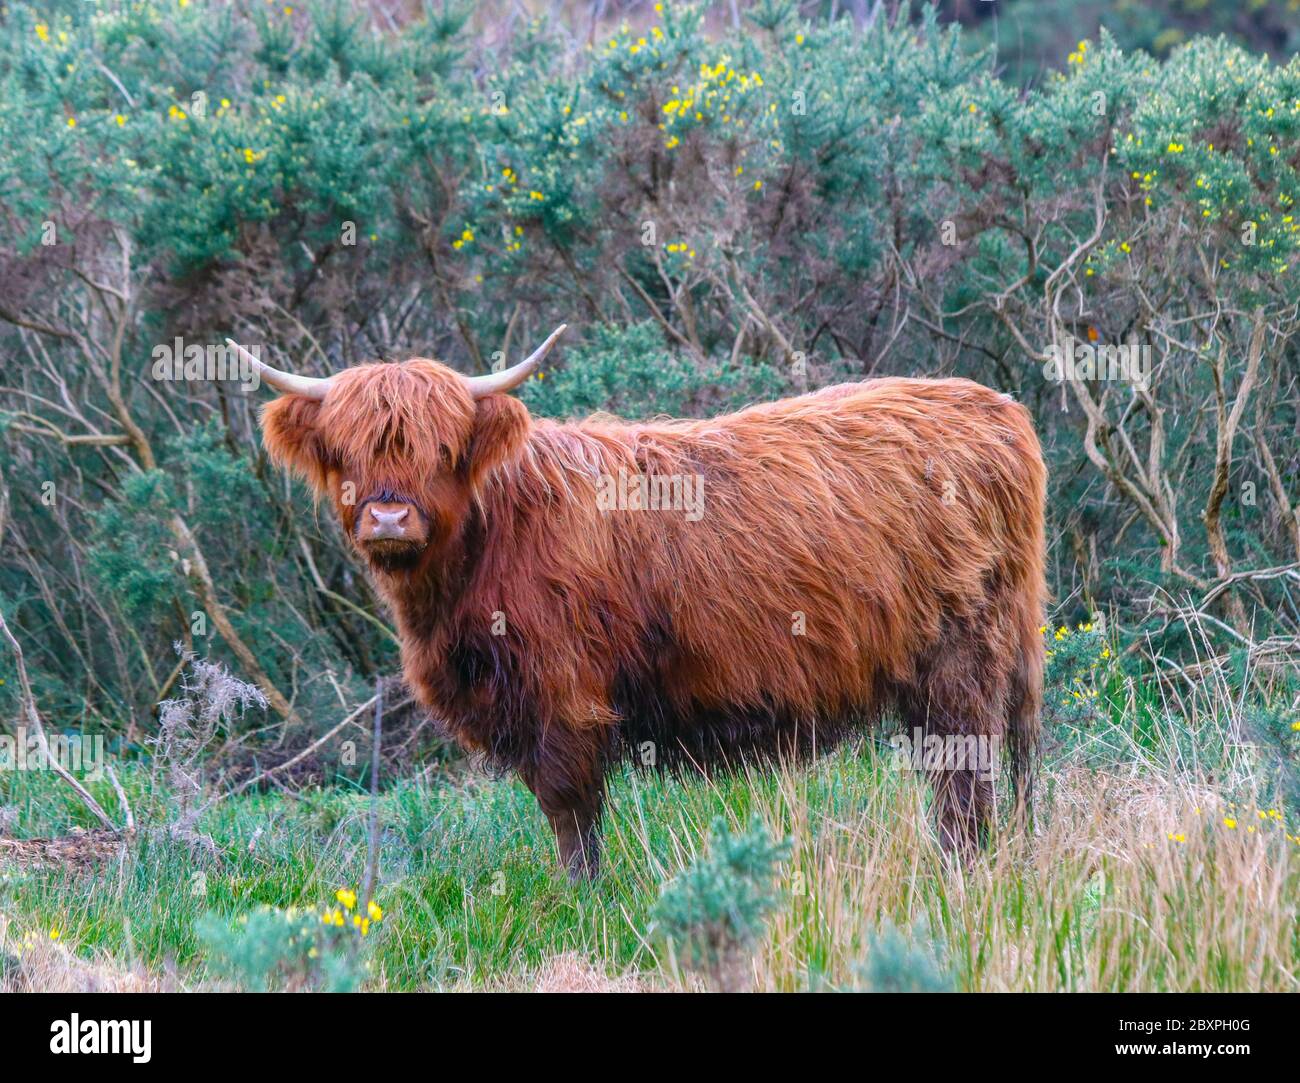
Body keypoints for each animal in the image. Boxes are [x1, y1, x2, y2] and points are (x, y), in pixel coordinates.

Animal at [233, 327, 1046, 880]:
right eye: (346, 448)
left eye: (444, 449)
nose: (389, 517)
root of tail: (993, 406)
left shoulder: (562, 697)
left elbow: (572, 814)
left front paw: (582, 900)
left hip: (962, 656)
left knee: (966, 781)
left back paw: (961, 875)